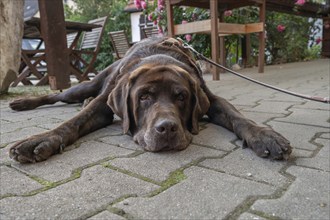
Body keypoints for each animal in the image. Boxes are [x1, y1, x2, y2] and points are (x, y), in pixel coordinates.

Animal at [8, 37, 292, 162]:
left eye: (182, 97)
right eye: (143, 97)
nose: (166, 128)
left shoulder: (211, 99)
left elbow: (237, 117)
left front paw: (265, 136)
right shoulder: (105, 103)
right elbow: (73, 123)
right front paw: (41, 139)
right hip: (86, 86)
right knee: (59, 95)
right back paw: (22, 103)